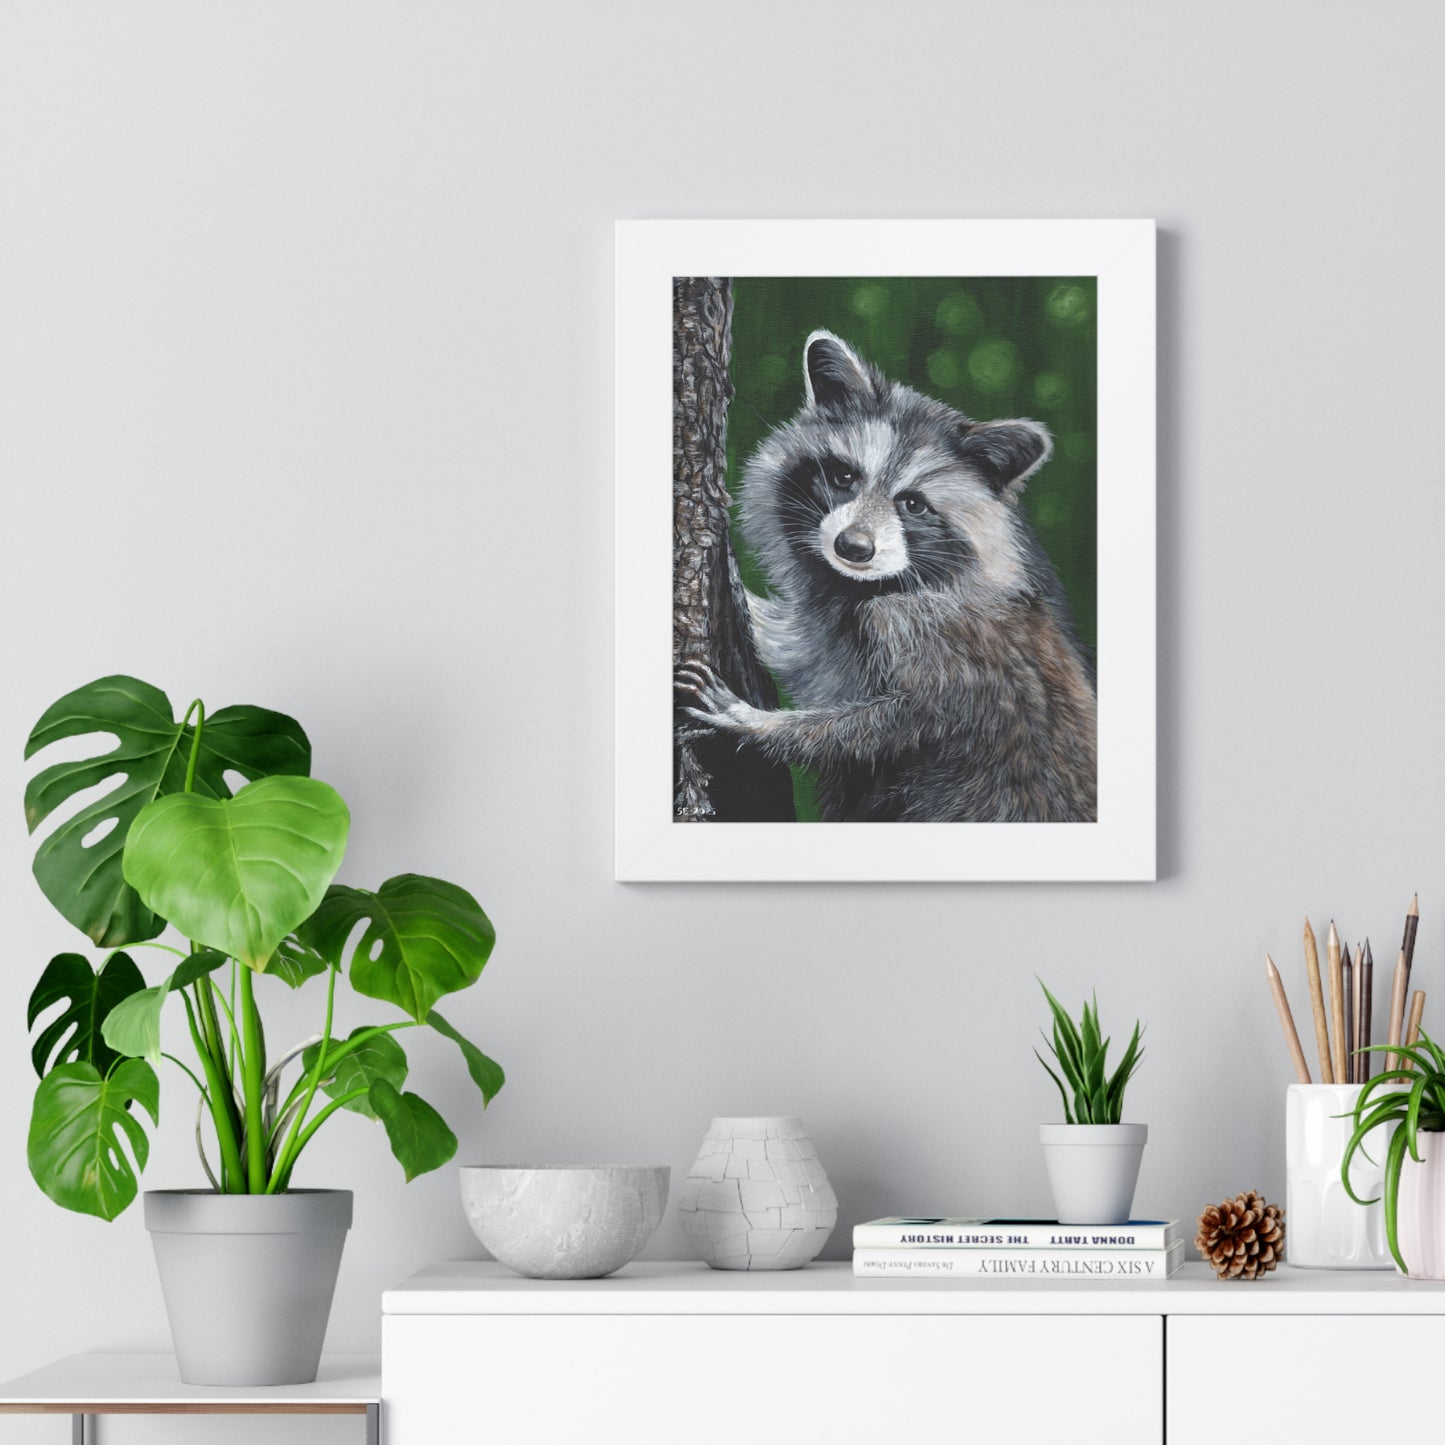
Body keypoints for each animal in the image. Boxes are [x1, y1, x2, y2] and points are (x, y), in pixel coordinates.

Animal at [675, 329, 1098, 822]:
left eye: (913, 504)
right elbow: (799, 647)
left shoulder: (934, 635)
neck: (865, 585)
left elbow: (898, 722)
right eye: (844, 477)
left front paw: (757, 725)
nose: (853, 547)